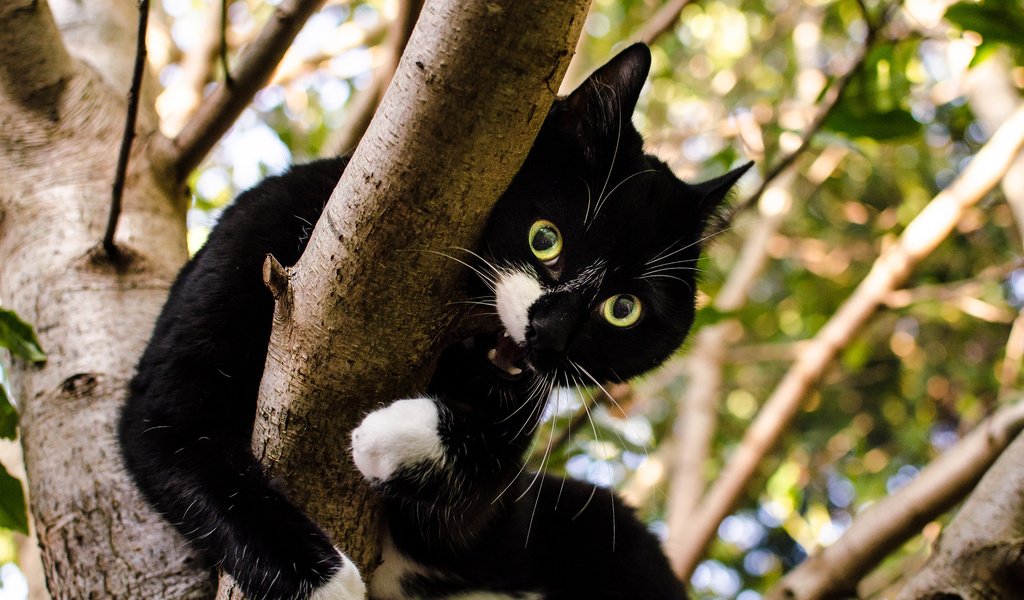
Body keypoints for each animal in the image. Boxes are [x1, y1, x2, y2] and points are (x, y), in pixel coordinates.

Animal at [119, 43, 749, 597]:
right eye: (545, 238)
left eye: (623, 309)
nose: (550, 333)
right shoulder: (252, 242)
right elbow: (177, 433)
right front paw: (323, 581)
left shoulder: (492, 519)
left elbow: (489, 474)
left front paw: (387, 436)